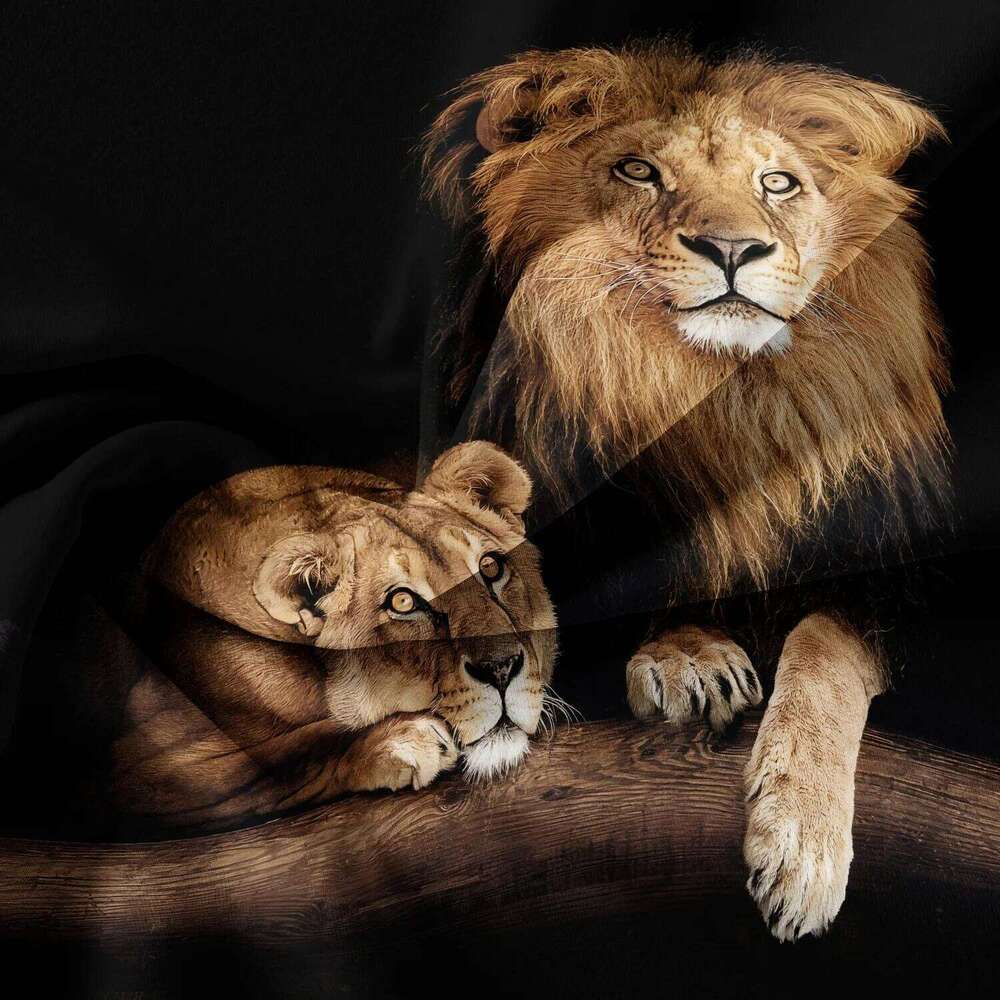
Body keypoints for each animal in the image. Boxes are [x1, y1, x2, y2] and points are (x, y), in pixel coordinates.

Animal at [38, 441, 557, 835]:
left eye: (490, 567)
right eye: (403, 602)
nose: (501, 668)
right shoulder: (121, 775)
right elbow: (284, 760)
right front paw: (400, 740)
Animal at [423, 41, 950, 940]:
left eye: (778, 182)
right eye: (638, 170)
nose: (734, 249)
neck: (713, 401)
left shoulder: (898, 587)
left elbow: (824, 646)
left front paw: (800, 845)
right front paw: (690, 657)